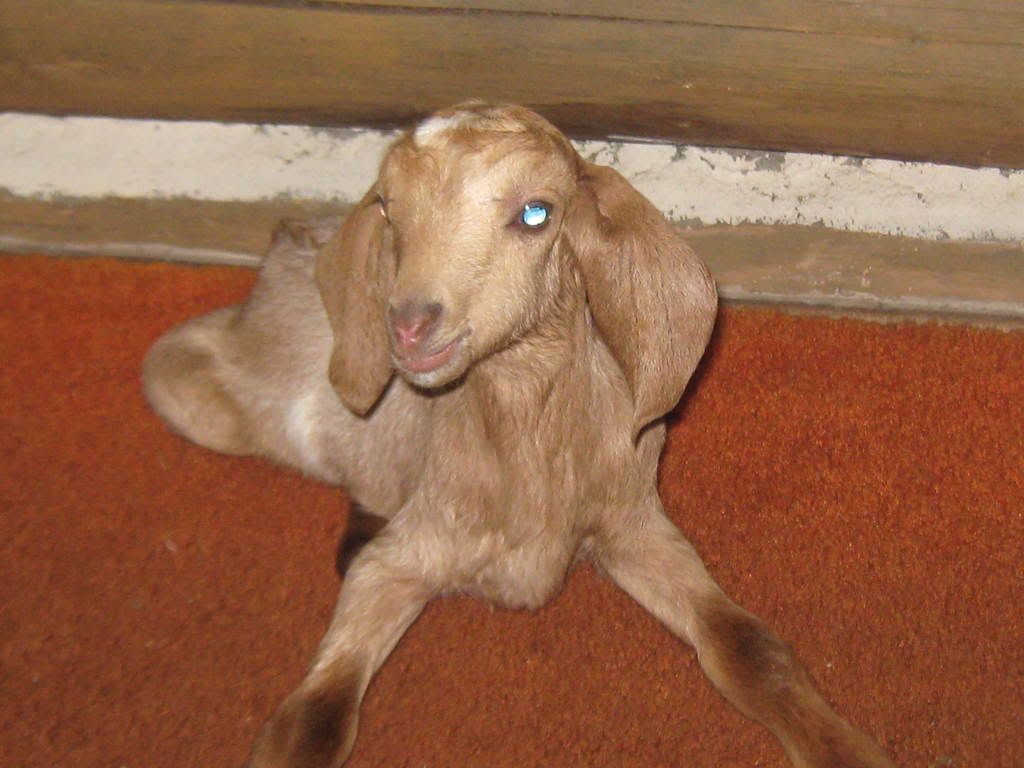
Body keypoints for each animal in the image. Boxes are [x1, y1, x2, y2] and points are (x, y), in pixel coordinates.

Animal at [143, 103, 895, 768]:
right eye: (389, 207)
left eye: (537, 212)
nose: (408, 325)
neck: (526, 452)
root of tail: (289, 235)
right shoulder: (401, 560)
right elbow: (313, 722)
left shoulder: (632, 521)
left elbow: (751, 649)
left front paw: (850, 752)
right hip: (195, 391)